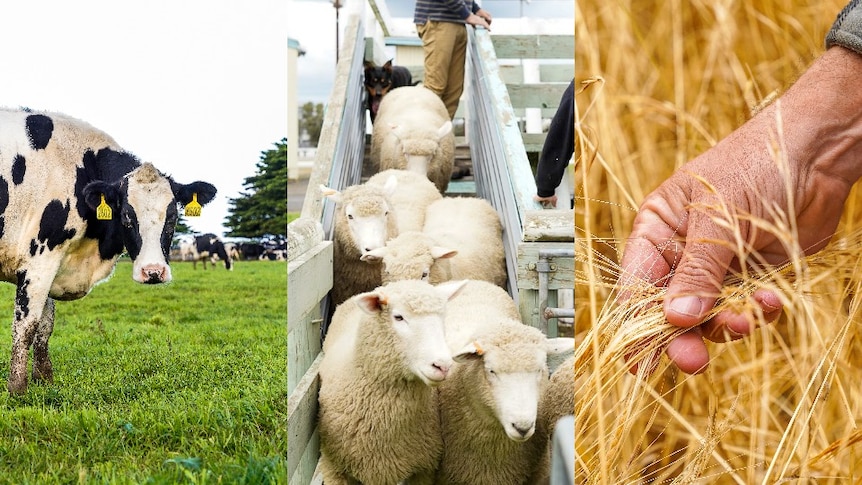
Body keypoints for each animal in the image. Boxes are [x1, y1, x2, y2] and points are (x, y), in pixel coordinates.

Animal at [0, 107, 218, 394]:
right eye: (126, 216)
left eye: (173, 217)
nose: (153, 272)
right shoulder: (39, 258)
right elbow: (26, 326)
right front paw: (17, 389)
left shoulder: (51, 260)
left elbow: (45, 327)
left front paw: (44, 380)